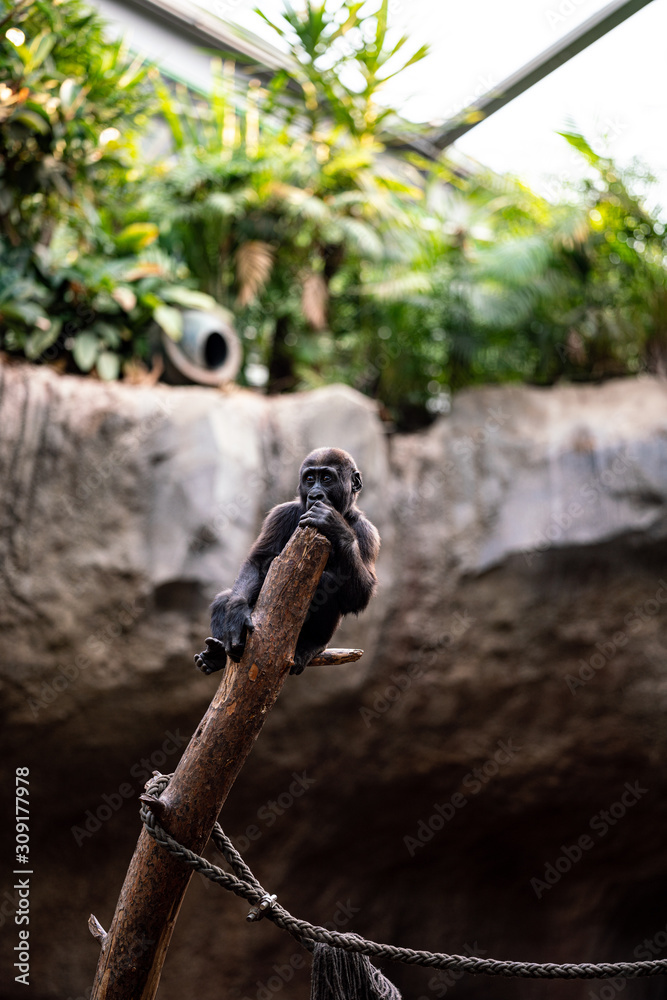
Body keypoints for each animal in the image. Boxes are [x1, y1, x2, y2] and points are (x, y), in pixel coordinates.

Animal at [194, 447, 380, 676]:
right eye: (310, 479)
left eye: (326, 478)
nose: (315, 494)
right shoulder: (281, 514)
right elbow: (258, 562)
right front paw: (236, 615)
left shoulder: (368, 532)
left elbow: (359, 597)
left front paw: (335, 525)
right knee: (225, 597)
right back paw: (217, 654)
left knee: (327, 582)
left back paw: (312, 644)